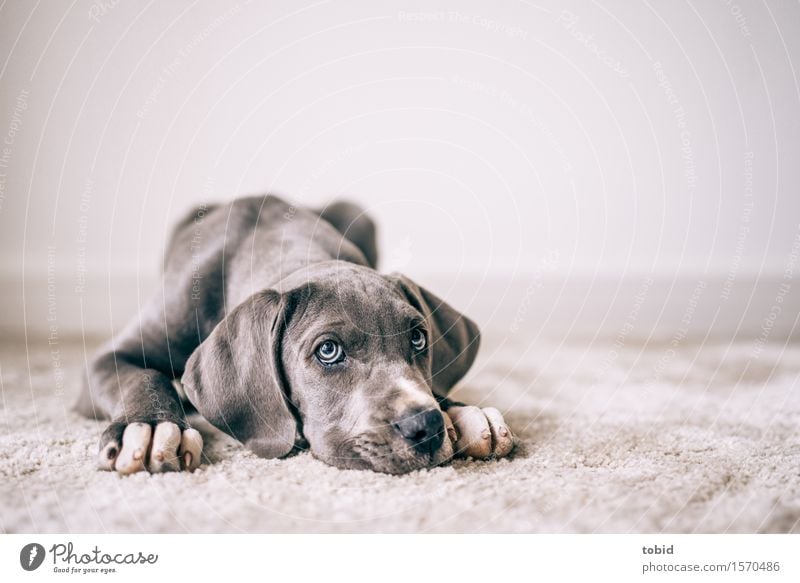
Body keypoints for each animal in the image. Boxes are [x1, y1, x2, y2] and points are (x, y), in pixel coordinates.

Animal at [75, 195, 512, 474]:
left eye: (419, 338)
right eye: (328, 350)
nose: (426, 427)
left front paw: (463, 412)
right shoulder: (109, 357)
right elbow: (145, 376)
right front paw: (151, 429)